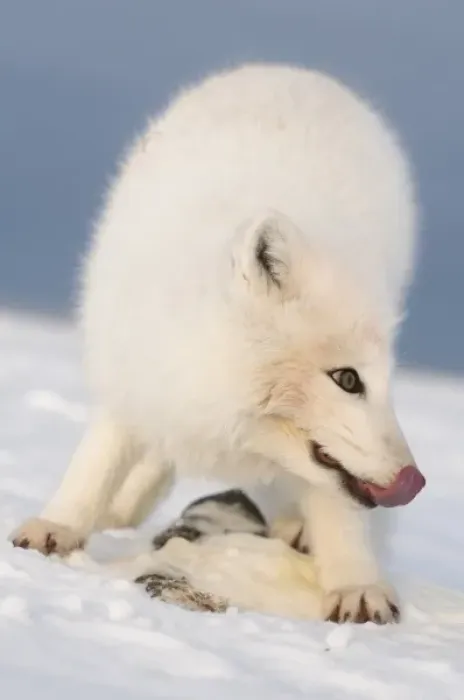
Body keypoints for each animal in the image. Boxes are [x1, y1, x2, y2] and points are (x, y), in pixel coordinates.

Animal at [10, 63, 426, 624]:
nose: (414, 479)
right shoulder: (135, 367)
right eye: (347, 378)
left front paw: (357, 587)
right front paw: (56, 528)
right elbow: (99, 458)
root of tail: (288, 68)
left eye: (384, 381)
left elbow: (337, 505)